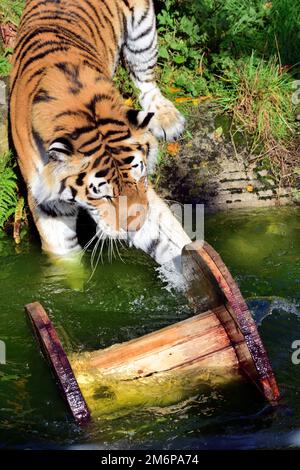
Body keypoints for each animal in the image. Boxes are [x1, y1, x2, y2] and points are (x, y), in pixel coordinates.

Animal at [10, 0, 191, 270]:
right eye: (103, 196)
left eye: (139, 178)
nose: (136, 225)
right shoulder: (48, 205)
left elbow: (171, 238)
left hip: (143, 34)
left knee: (145, 80)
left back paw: (167, 119)